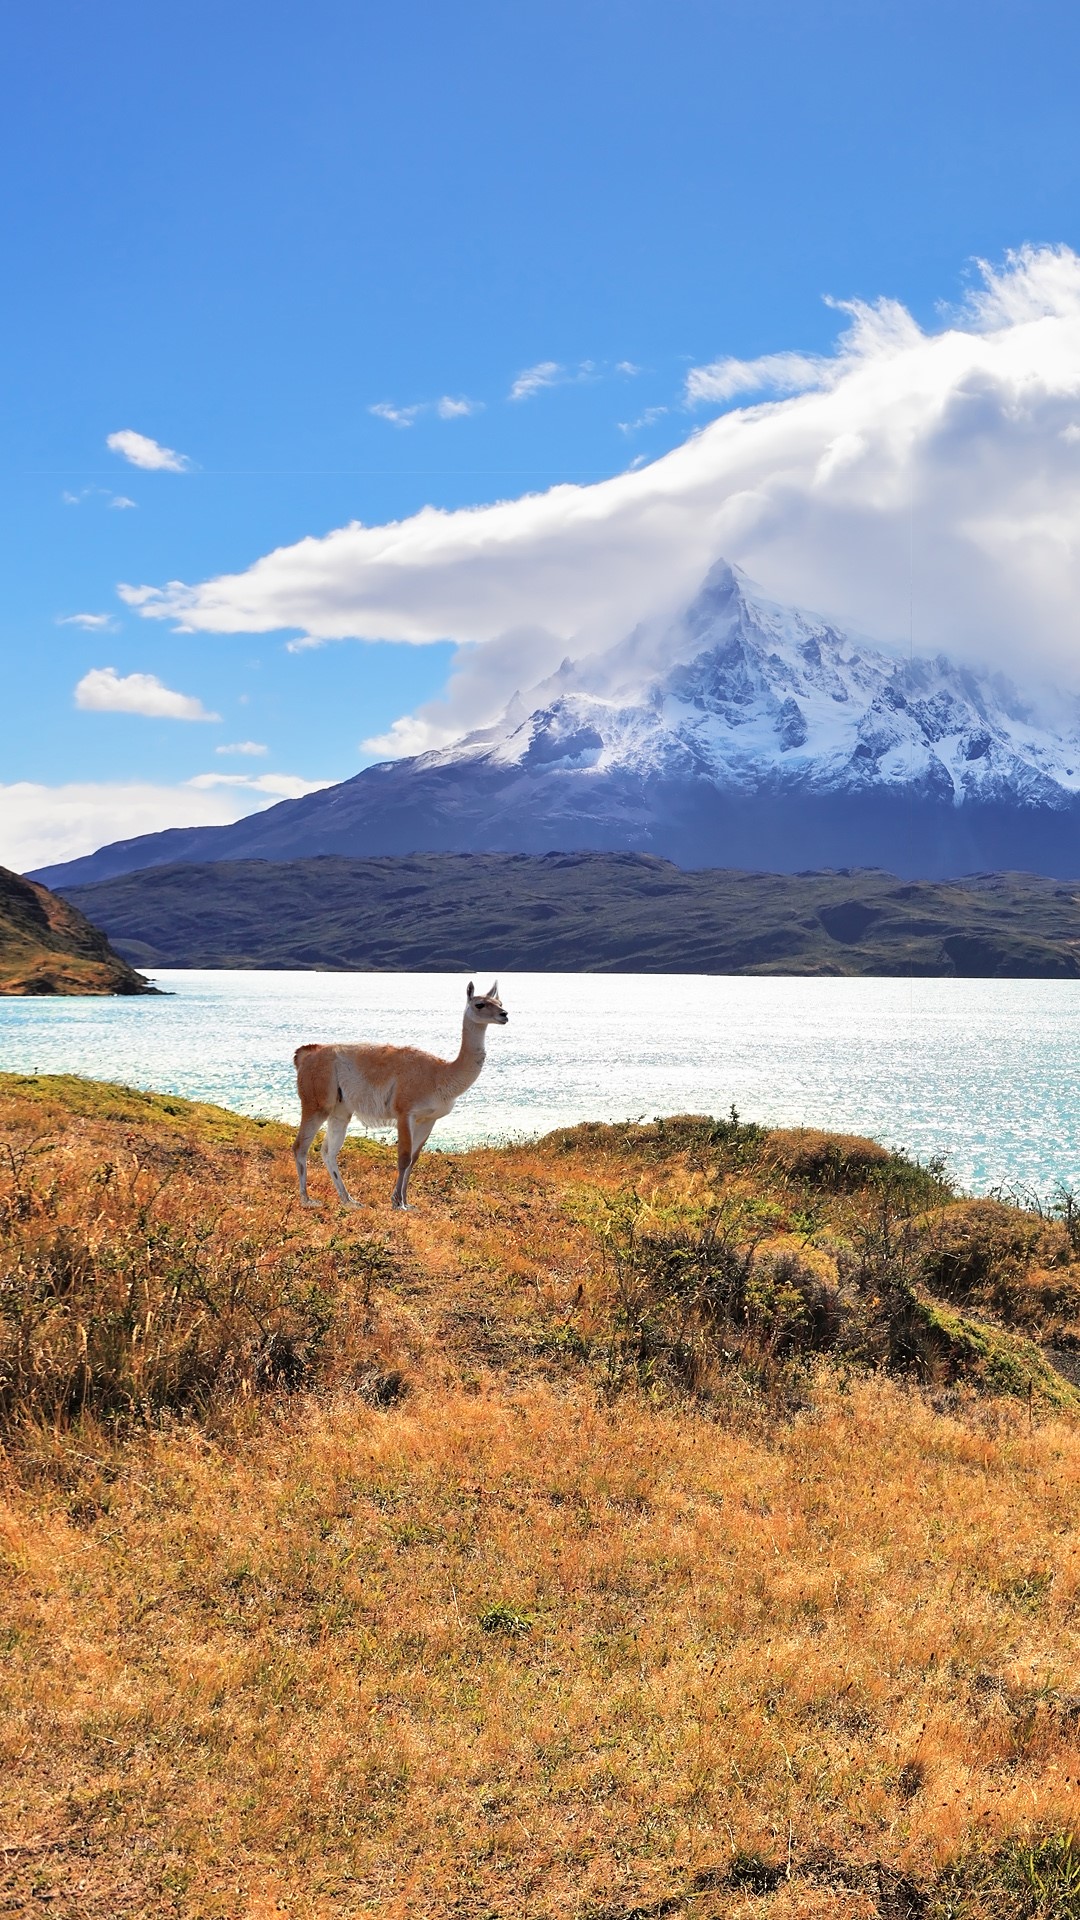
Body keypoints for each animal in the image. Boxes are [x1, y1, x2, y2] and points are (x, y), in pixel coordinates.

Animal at [292, 981, 509, 1212]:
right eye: (480, 1004)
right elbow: (403, 1157)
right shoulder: (405, 1112)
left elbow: (414, 1158)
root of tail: (306, 1054)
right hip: (316, 1102)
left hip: (340, 1110)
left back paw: (349, 1200)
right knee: (300, 1147)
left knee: (328, 1151)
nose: (504, 1015)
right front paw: (397, 1203)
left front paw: (406, 1201)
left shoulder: (428, 1119)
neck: (440, 1074)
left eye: (500, 1002)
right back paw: (307, 1199)